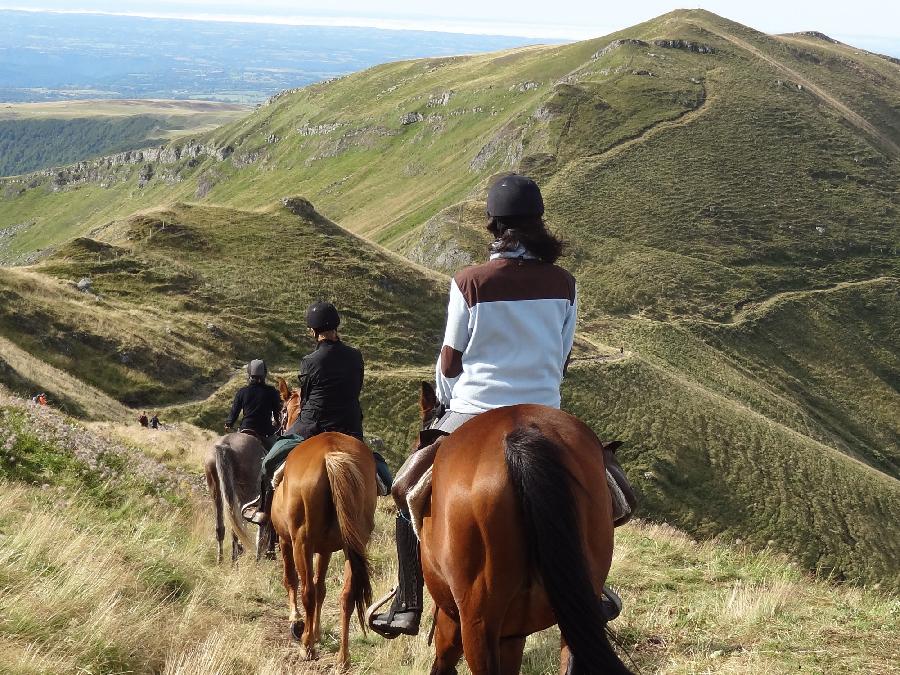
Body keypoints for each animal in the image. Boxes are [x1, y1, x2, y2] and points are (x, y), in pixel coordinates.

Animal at [270, 418, 376, 672]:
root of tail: (331, 454)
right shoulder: (325, 549)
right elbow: (321, 588)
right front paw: (316, 631)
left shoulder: (285, 540)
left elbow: (292, 579)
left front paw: (297, 620)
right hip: (353, 545)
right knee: (346, 595)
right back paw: (342, 659)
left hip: (301, 543)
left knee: (306, 590)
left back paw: (306, 646)